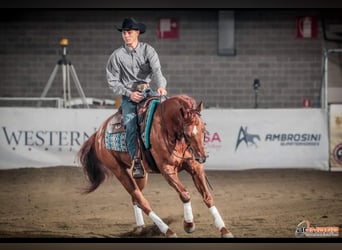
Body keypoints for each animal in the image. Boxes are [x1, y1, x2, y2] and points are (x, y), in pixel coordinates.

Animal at [77, 94, 232, 238]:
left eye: (203, 128)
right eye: (187, 134)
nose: (202, 157)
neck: (167, 129)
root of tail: (99, 133)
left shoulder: (195, 167)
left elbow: (207, 196)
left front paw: (224, 230)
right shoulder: (167, 170)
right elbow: (185, 194)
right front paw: (189, 224)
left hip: (140, 175)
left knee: (136, 199)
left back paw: (141, 228)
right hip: (119, 171)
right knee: (142, 200)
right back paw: (168, 231)